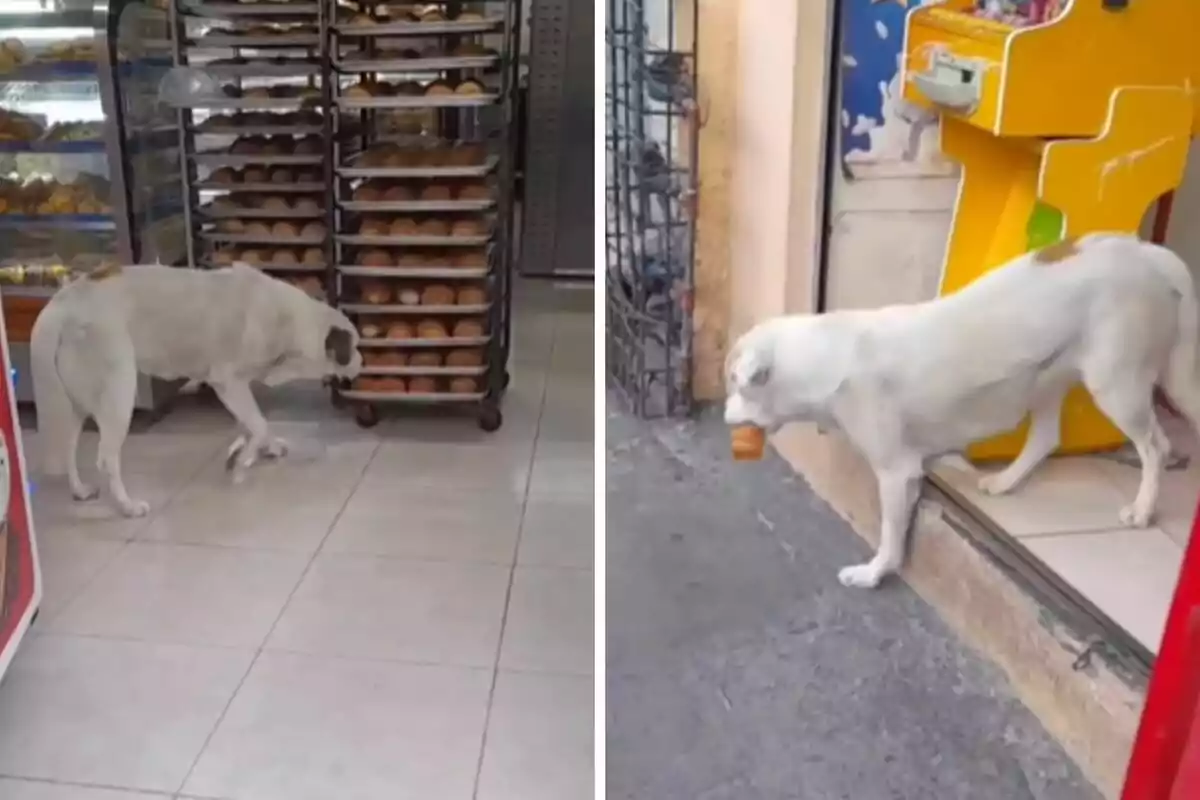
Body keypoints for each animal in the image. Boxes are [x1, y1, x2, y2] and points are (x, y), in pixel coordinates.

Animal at [30, 263, 360, 520]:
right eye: (354, 347)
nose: (362, 362)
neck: (291, 322)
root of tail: (61, 306)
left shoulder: (236, 389)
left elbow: (252, 424)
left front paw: (253, 451)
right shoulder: (228, 381)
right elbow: (259, 423)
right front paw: (243, 463)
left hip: (74, 403)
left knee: (67, 447)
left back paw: (80, 490)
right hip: (118, 391)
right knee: (106, 458)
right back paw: (127, 506)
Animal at [724, 235, 1200, 592]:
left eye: (734, 382)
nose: (725, 417)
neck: (827, 356)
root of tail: (1146, 251)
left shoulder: (896, 472)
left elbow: (890, 533)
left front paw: (876, 573)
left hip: (1115, 384)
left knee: (1155, 446)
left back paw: (1142, 509)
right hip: (1047, 378)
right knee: (1047, 437)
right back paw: (1006, 481)